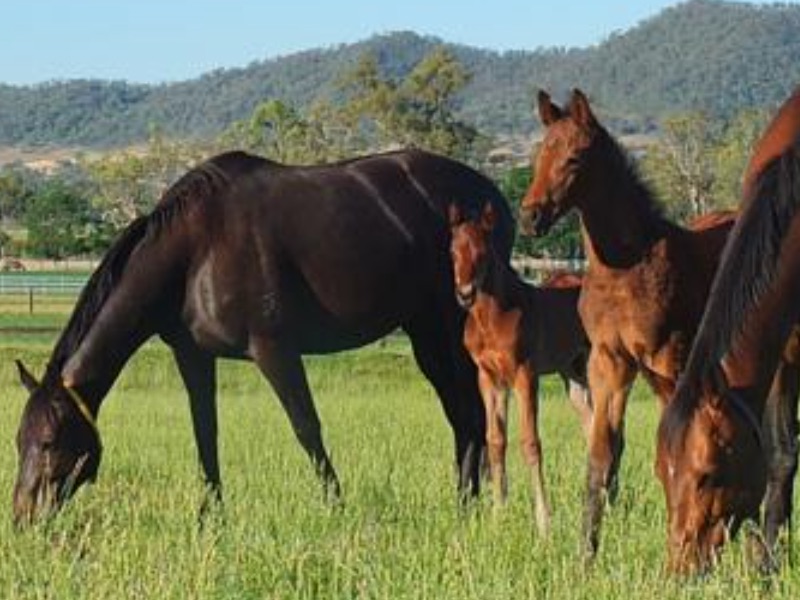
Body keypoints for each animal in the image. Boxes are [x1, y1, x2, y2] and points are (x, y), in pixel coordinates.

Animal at [10, 148, 512, 524]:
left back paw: (467, 507)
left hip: (449, 327)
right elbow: (205, 432)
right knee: (461, 415)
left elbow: (307, 427)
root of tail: (490, 195)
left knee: (470, 412)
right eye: (18, 440)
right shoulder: (193, 356)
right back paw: (466, 501)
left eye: (49, 441)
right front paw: (211, 517)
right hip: (424, 332)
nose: (22, 517)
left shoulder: (273, 349)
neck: (196, 250)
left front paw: (337, 508)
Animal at [446, 202, 592, 536]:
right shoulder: (489, 379)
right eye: (452, 250)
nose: (465, 294)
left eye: (483, 251)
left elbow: (530, 442)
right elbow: (495, 441)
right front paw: (497, 516)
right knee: (593, 426)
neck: (492, 318)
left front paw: (544, 522)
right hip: (574, 374)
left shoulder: (525, 376)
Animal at [516, 89, 736, 556]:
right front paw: (585, 554)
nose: (530, 217)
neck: (627, 267)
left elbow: (676, 447)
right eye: (540, 153)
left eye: (575, 157)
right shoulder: (609, 363)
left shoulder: (671, 360)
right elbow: (601, 454)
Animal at [652, 88, 800, 572]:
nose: (681, 568)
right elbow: (781, 454)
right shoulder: (783, 355)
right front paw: (768, 564)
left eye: (709, 475)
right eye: (663, 473)